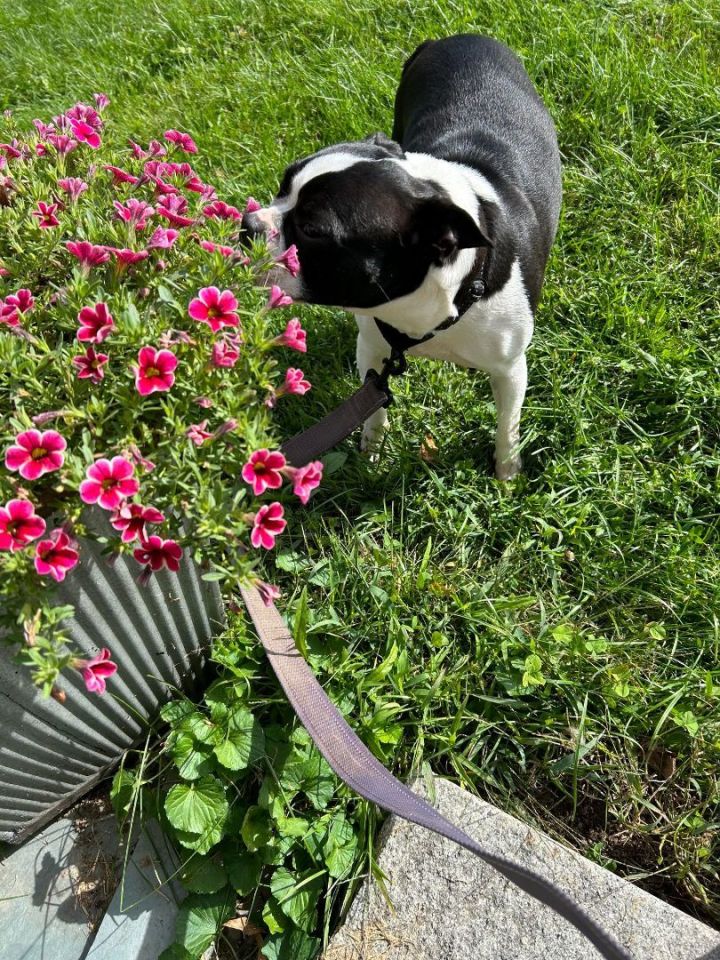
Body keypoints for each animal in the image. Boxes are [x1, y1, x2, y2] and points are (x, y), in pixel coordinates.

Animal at [242, 35, 564, 478]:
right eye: (281, 188)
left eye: (312, 230)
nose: (247, 224)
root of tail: (459, 37)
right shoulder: (373, 348)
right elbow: (373, 410)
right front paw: (371, 454)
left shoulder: (511, 370)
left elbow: (507, 427)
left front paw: (506, 474)